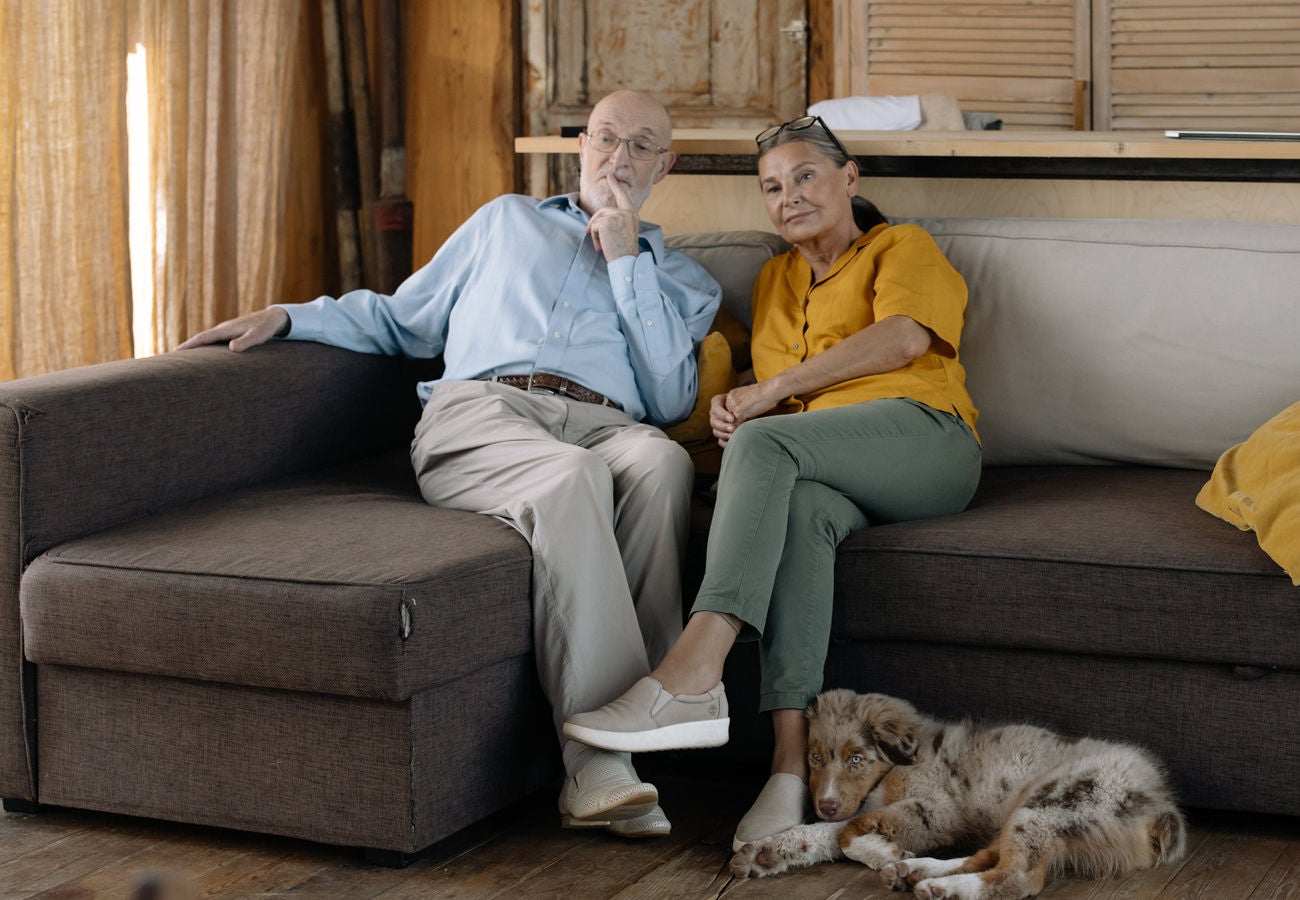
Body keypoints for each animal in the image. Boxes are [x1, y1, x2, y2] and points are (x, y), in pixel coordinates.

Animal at [733, 691, 1190, 894]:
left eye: (856, 759)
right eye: (813, 758)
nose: (825, 804)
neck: (891, 771)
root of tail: (1162, 806)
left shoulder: (936, 808)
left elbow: (849, 833)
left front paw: (882, 852)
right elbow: (837, 830)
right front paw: (767, 851)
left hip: (1053, 802)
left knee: (1017, 876)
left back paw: (943, 887)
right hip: (1027, 814)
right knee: (991, 855)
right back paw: (919, 871)